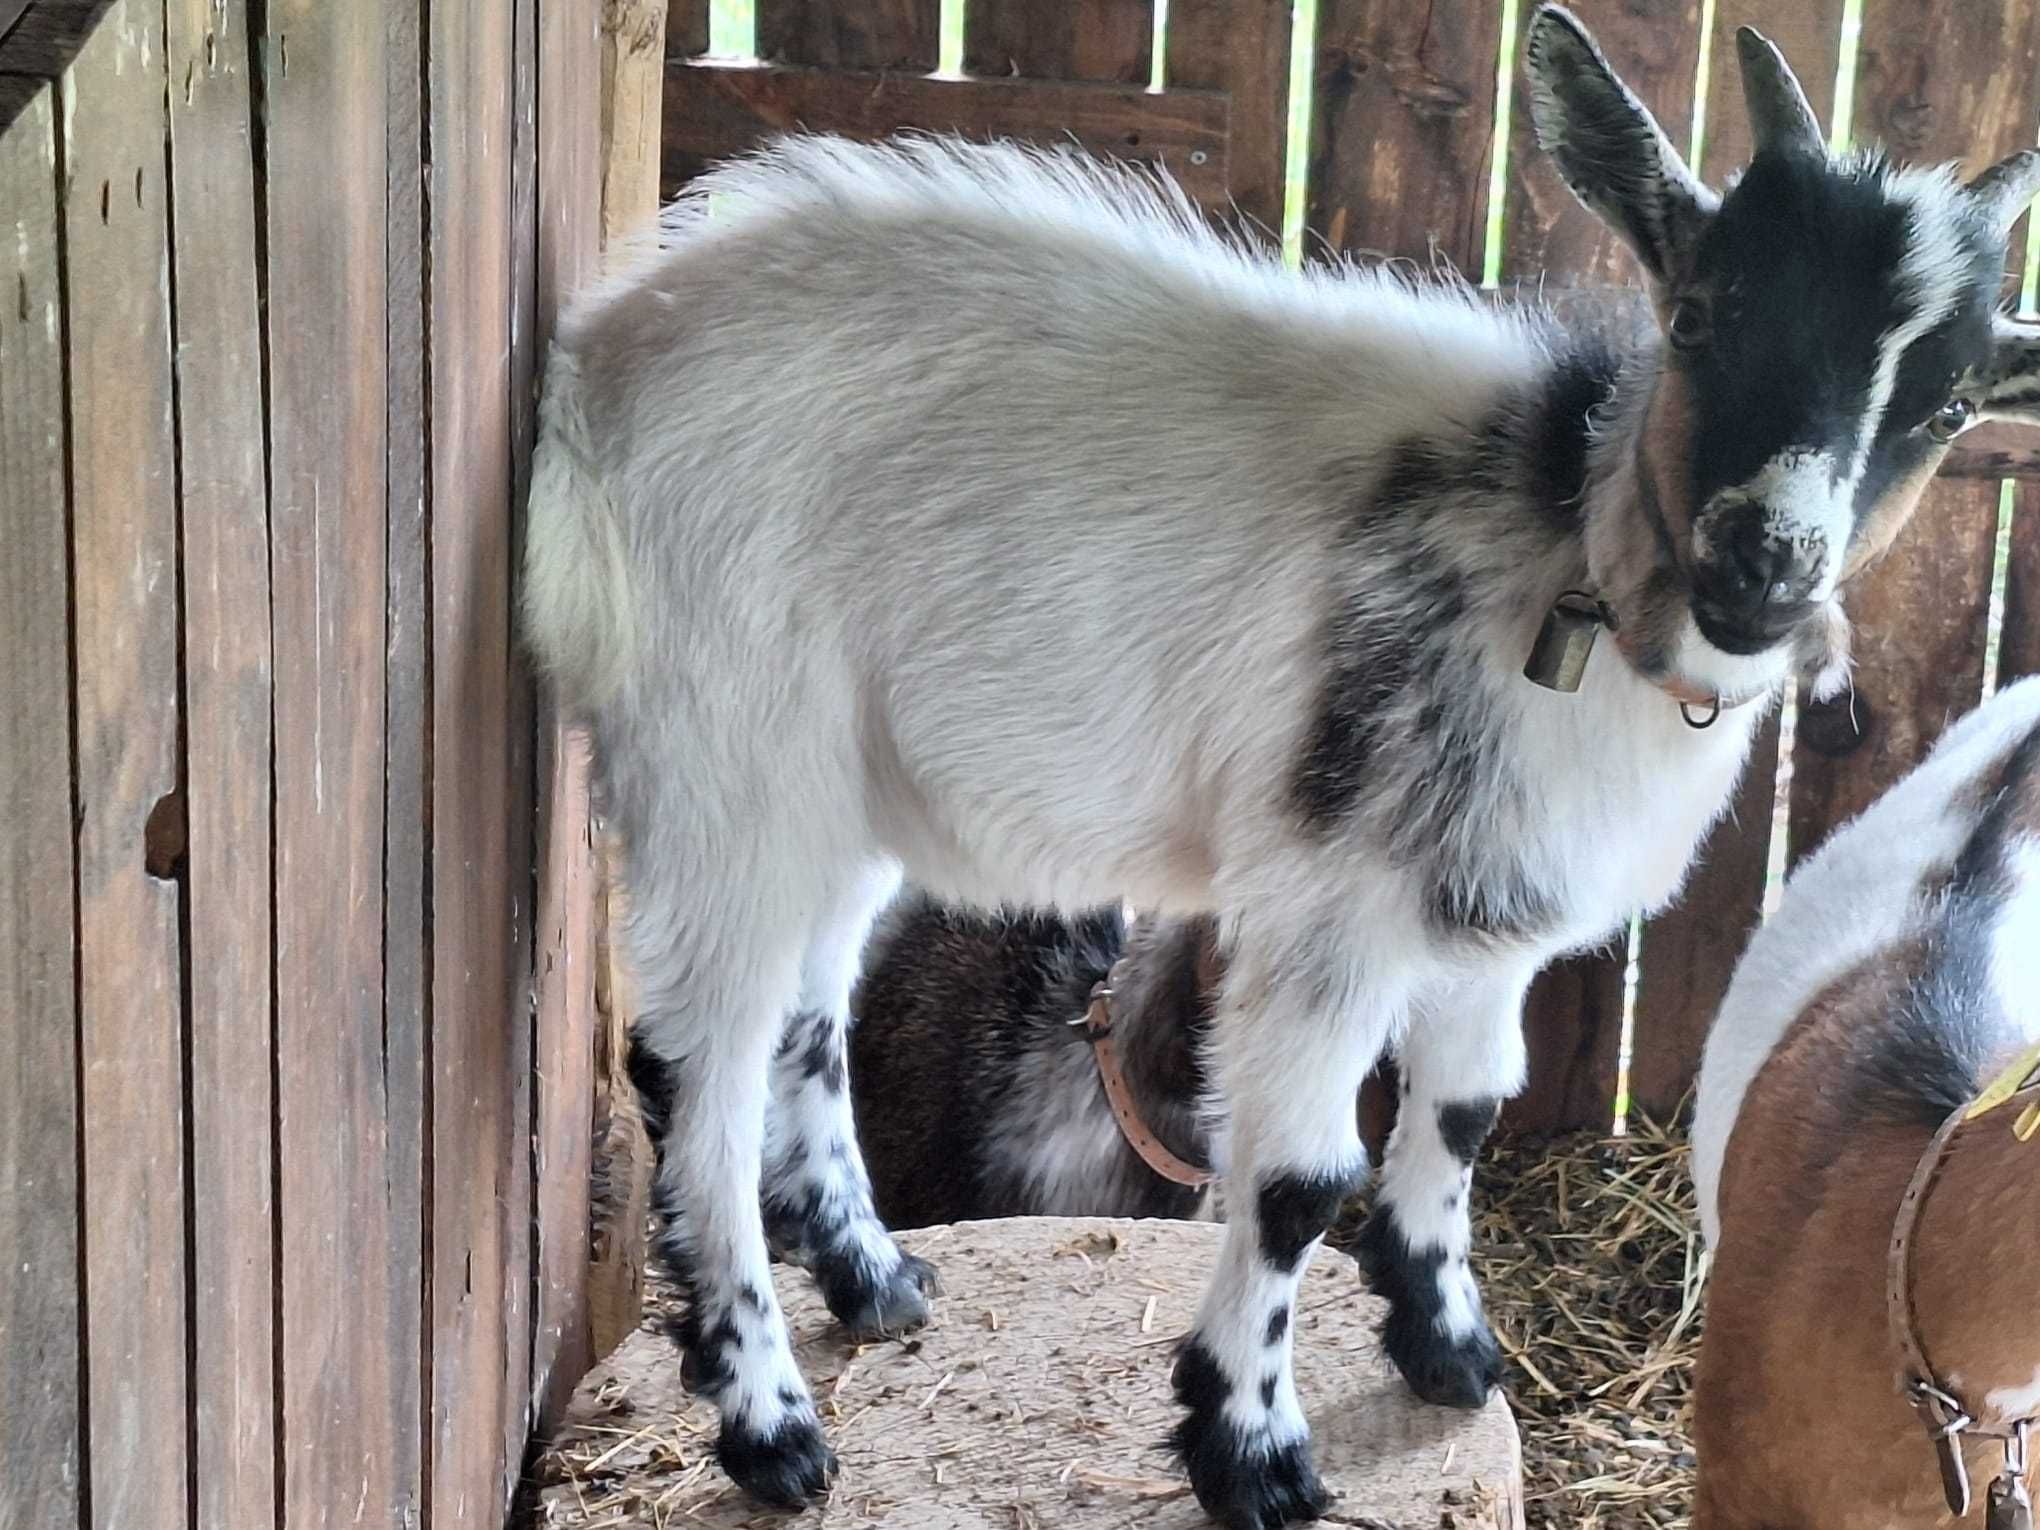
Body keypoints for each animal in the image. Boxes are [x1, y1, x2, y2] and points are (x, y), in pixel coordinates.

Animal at [518, 5, 2040, 1525]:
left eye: (1953, 405)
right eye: (1701, 312)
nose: (1765, 567)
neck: (1566, 557)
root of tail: (603, 361)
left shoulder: (1492, 902)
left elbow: (1464, 1112)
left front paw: (1448, 1347)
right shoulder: (1331, 903)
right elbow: (1304, 1180)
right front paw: (1249, 1449)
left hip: (842, 783)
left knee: (806, 1016)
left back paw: (876, 1278)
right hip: (726, 752)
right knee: (695, 1073)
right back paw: (767, 1422)